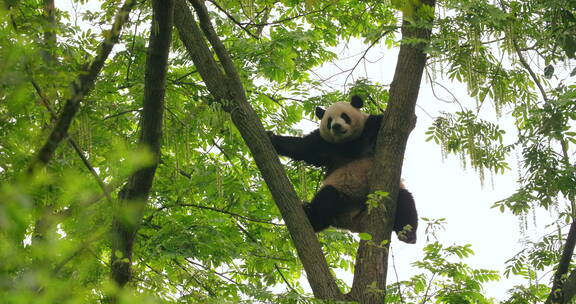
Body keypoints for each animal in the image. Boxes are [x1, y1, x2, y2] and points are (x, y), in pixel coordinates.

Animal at [268, 96, 416, 243]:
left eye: (344, 116)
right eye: (329, 121)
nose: (336, 126)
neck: (348, 142)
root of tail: (355, 223)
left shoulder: (370, 126)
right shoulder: (324, 144)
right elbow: (302, 148)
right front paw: (272, 137)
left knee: (405, 202)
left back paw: (408, 234)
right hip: (341, 199)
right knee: (327, 198)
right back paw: (311, 217)